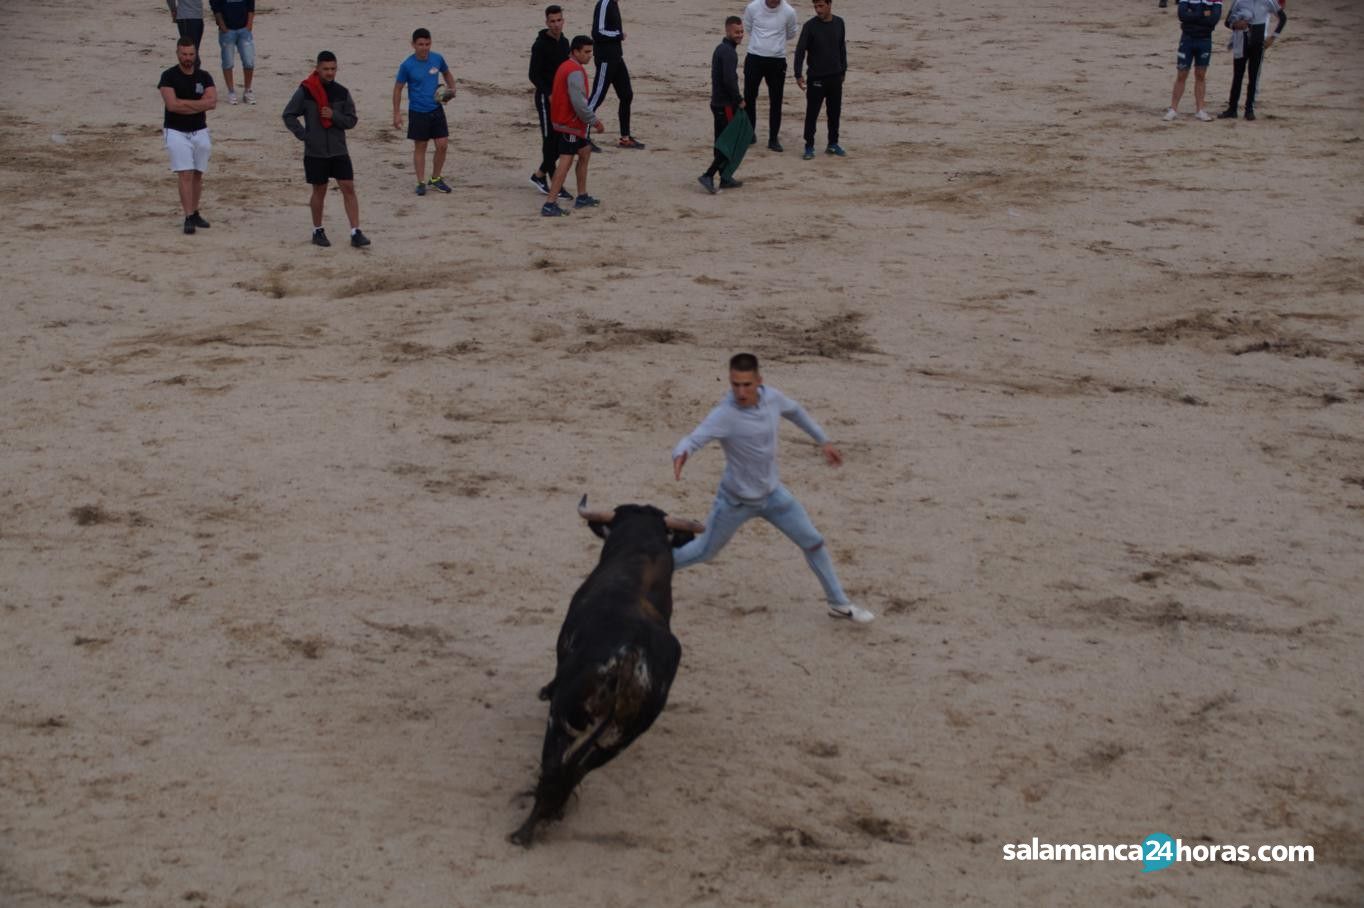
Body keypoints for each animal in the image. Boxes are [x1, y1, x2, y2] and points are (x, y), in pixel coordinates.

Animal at [512, 498, 703, 845]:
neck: (639, 558)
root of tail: (631, 654)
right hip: (621, 737)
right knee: (577, 771)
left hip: (563, 718)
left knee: (554, 769)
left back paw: (524, 831)